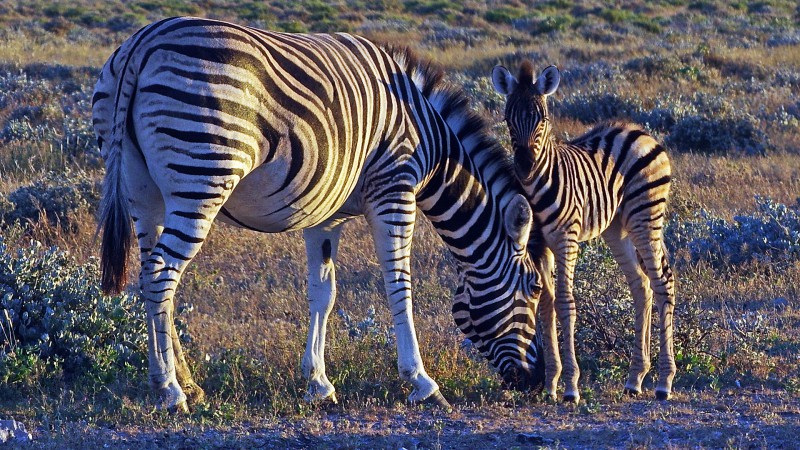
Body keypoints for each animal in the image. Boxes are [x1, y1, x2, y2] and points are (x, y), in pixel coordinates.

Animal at [94, 17, 544, 414]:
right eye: (535, 288)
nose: (537, 382)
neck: (430, 140)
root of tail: (142, 44)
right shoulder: (394, 190)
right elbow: (400, 286)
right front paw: (421, 382)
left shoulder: (325, 217)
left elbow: (323, 293)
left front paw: (319, 384)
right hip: (202, 175)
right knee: (160, 274)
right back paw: (169, 391)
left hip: (143, 192)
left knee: (151, 274)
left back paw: (187, 382)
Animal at [494, 62, 676, 400]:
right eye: (507, 118)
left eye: (543, 119)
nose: (524, 166)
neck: (537, 188)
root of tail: (640, 130)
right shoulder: (538, 245)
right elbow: (546, 305)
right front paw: (551, 384)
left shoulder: (566, 239)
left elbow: (565, 303)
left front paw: (570, 387)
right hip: (616, 228)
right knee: (641, 286)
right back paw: (635, 378)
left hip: (646, 216)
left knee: (662, 284)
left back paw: (663, 382)